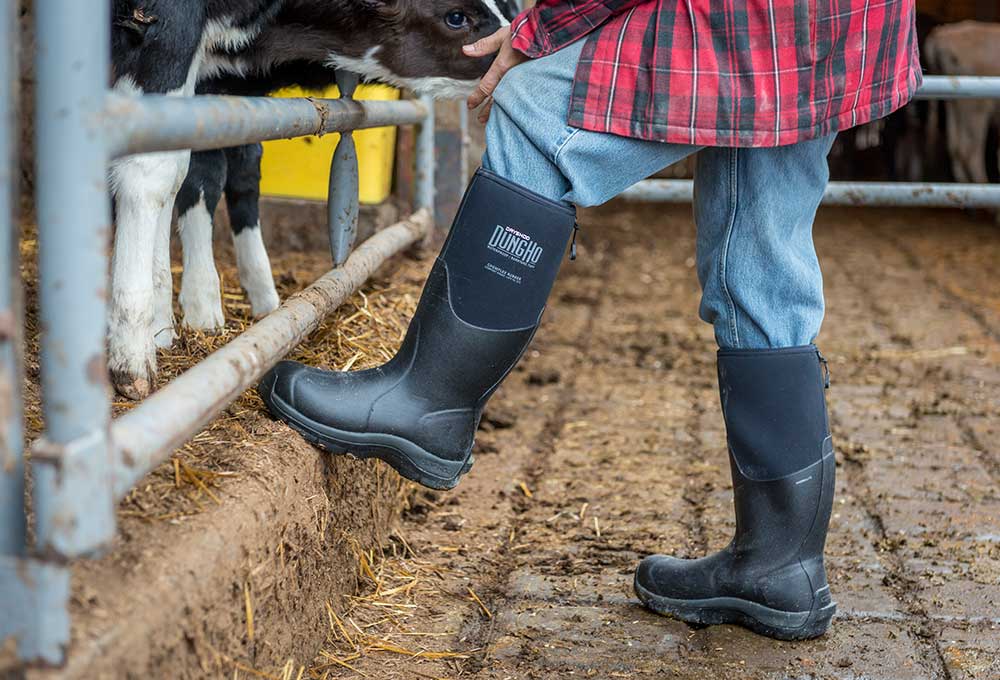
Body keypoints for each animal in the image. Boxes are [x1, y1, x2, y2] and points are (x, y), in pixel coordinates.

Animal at [109, 0, 516, 398]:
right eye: (456, 17)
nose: (514, 60)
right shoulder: (171, 29)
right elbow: (169, 167)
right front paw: (146, 343)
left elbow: (192, 161)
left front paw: (164, 323)